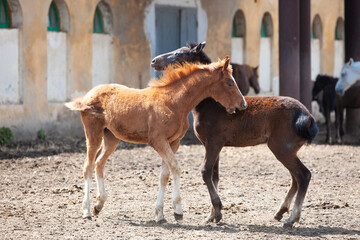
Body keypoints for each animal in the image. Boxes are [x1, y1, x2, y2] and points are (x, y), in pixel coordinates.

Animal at [64, 58, 248, 223]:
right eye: (230, 83)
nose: (243, 104)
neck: (174, 102)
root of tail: (87, 96)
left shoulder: (173, 142)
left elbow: (164, 175)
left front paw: (160, 214)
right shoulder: (158, 141)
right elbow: (176, 167)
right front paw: (178, 211)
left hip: (111, 137)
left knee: (99, 163)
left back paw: (98, 205)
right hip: (93, 133)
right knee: (88, 166)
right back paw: (87, 210)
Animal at [152, 41, 318, 229]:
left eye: (179, 54)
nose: (154, 61)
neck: (212, 104)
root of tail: (306, 116)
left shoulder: (214, 143)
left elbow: (205, 172)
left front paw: (217, 211)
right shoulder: (212, 145)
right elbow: (214, 176)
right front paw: (211, 215)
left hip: (282, 149)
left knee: (303, 176)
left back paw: (291, 218)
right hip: (289, 151)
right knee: (295, 178)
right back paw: (280, 212)